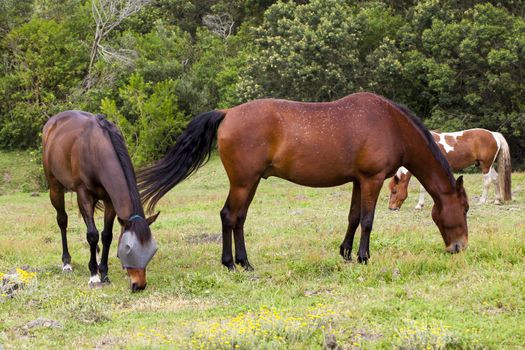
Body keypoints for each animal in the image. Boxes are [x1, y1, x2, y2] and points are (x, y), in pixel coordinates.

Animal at [42, 110, 159, 292]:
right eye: (128, 249)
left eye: (152, 250)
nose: (139, 285)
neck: (96, 147)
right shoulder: (83, 193)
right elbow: (92, 235)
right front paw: (94, 275)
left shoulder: (109, 200)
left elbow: (106, 235)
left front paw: (103, 273)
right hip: (55, 187)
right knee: (62, 220)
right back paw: (67, 263)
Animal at [137, 91, 468, 270]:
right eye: (464, 209)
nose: (460, 247)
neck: (390, 124)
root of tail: (227, 113)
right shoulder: (371, 180)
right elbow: (368, 220)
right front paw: (363, 257)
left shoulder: (358, 181)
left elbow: (353, 217)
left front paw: (346, 253)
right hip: (244, 182)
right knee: (229, 216)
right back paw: (231, 263)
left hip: (250, 183)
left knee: (238, 218)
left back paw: (243, 262)